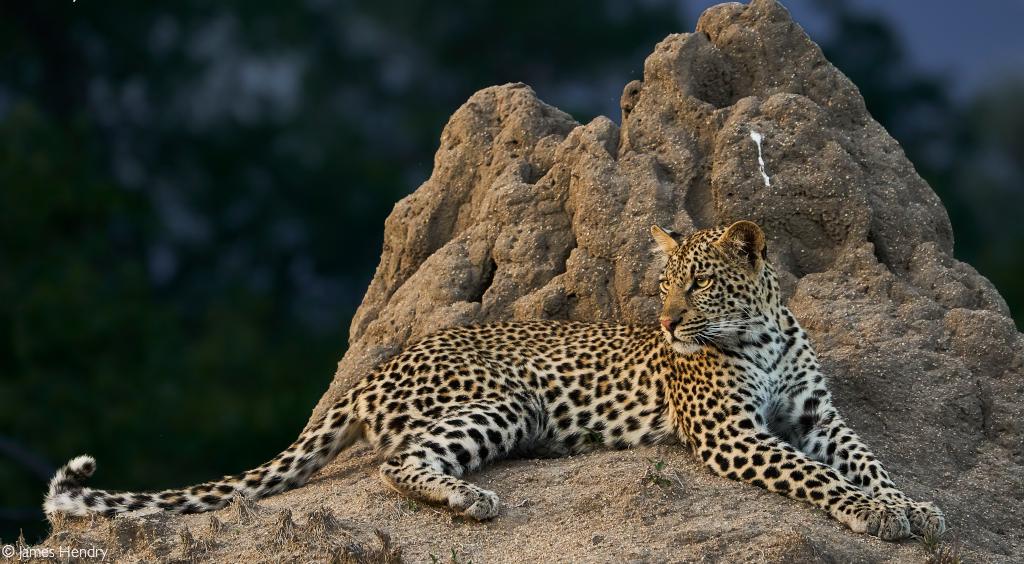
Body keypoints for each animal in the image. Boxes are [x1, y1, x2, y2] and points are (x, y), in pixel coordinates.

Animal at [44, 220, 945, 541]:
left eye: (700, 285)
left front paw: (912, 504)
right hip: (509, 397)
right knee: (398, 464)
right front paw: (874, 514)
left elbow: (861, 458)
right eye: (665, 285)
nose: (665, 324)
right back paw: (467, 499)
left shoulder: (819, 415)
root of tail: (371, 369)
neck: (758, 332)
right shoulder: (734, 433)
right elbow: (813, 475)